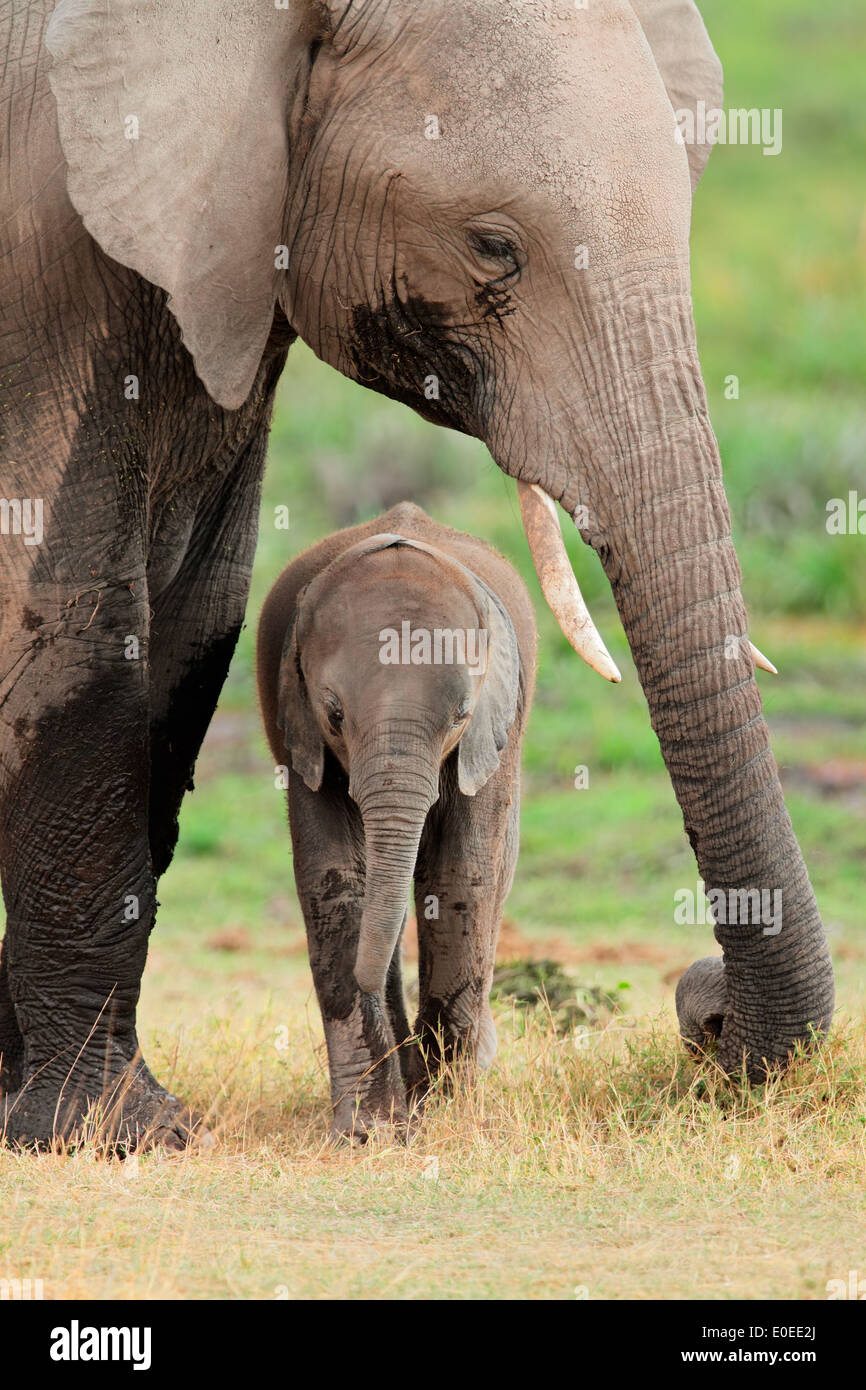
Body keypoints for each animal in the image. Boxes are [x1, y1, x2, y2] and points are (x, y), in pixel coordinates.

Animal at [257, 503, 536, 1139]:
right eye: (334, 713)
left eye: (461, 714)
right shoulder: (302, 735)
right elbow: (334, 879)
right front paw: (371, 1131)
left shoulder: (492, 736)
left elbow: (460, 875)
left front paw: (447, 1112)